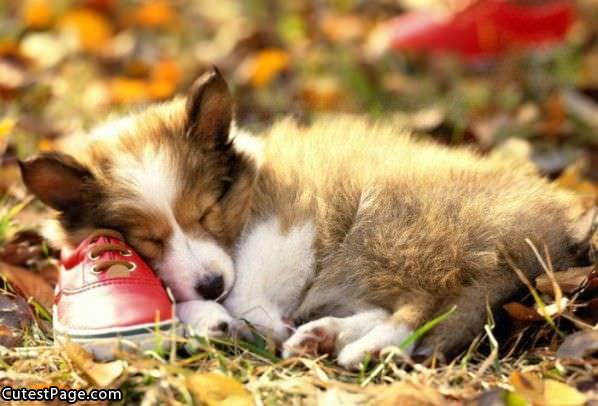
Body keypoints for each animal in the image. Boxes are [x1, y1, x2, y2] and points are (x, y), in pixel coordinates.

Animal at [19, 69, 596, 368]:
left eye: (207, 210)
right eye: (146, 240)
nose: (211, 285)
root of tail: (549, 232)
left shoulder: (287, 223)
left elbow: (250, 289)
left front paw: (239, 315)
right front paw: (206, 316)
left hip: (394, 227)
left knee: (425, 304)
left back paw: (363, 346)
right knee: (402, 305)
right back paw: (323, 335)